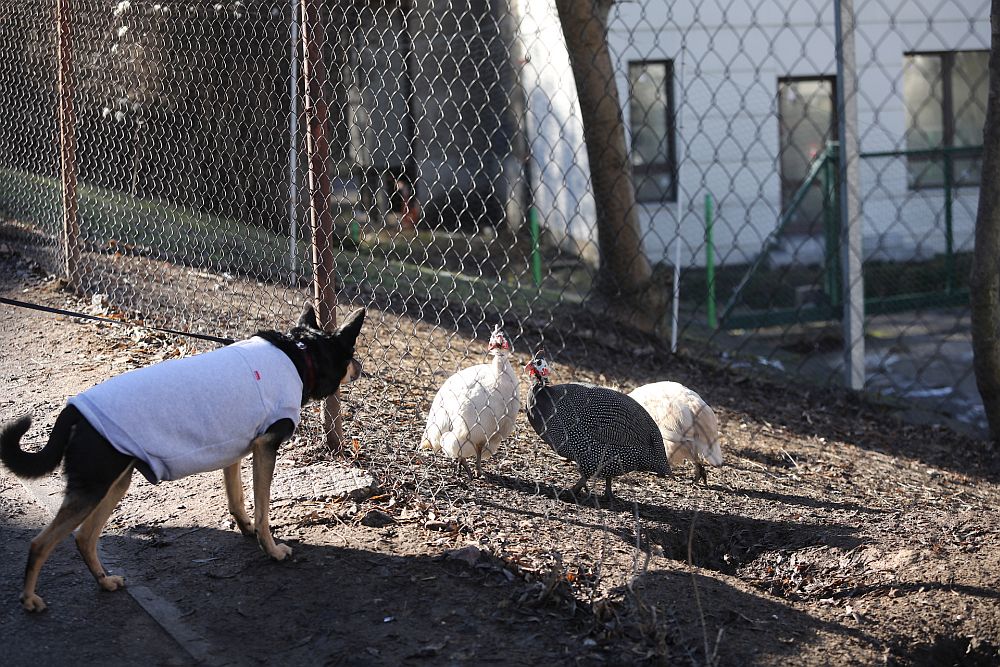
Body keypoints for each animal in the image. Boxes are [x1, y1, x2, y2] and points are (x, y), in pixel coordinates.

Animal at [0, 306, 368, 612]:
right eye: (351, 354)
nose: (361, 368)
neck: (300, 353)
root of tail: (74, 409)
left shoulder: (236, 447)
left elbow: (237, 500)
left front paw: (246, 529)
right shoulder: (266, 446)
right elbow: (263, 510)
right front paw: (272, 550)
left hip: (113, 484)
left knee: (84, 537)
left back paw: (104, 582)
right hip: (93, 487)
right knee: (40, 543)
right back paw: (29, 599)